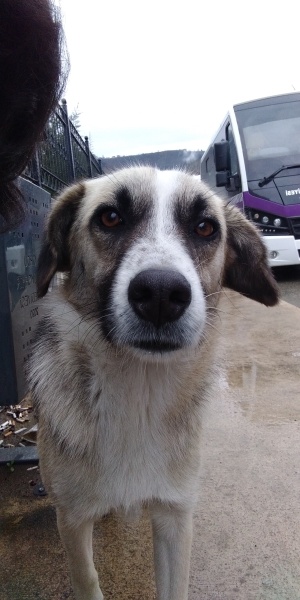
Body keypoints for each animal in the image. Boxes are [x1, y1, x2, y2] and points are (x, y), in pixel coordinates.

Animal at [28, 166, 278, 600]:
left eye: (204, 227)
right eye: (110, 218)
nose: (161, 293)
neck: (139, 394)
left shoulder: (175, 516)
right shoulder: (72, 520)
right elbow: (87, 579)